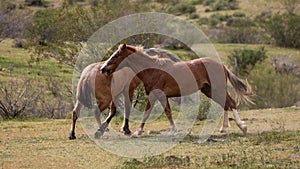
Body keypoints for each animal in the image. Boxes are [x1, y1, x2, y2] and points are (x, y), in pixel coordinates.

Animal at [101, 44, 253, 137]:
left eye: (116, 55)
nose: (103, 69)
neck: (153, 69)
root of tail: (222, 66)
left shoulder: (154, 95)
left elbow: (146, 113)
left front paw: (137, 132)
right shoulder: (163, 97)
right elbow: (168, 112)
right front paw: (173, 130)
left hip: (217, 89)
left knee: (231, 103)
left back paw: (242, 127)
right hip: (209, 91)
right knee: (226, 104)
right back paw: (224, 128)